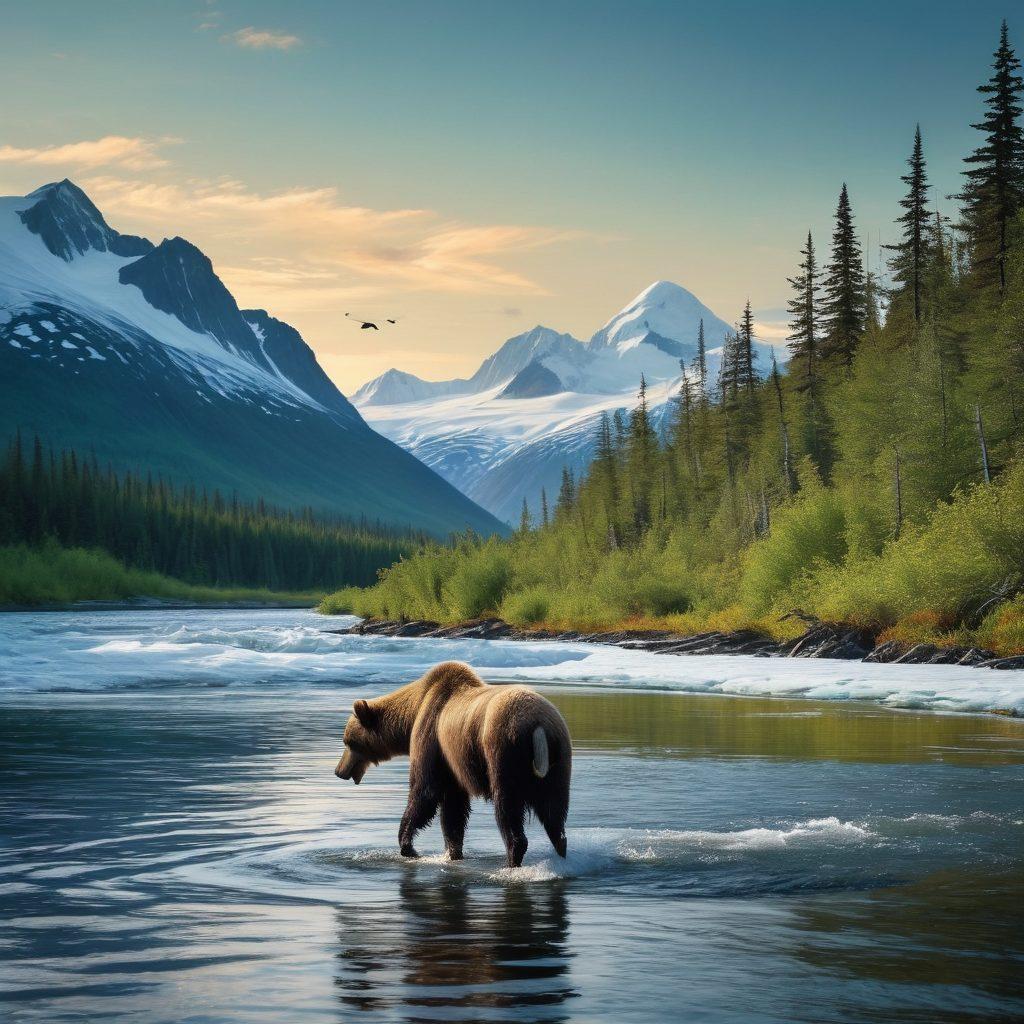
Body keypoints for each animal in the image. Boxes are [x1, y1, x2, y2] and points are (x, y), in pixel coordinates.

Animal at [335, 661, 571, 868]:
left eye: (348, 741)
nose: (339, 771)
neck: (414, 710)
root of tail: (538, 726)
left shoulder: (431, 734)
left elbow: (426, 791)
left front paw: (409, 846)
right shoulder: (451, 761)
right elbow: (453, 809)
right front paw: (453, 852)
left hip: (504, 749)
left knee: (507, 806)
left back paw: (511, 860)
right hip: (558, 760)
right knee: (554, 811)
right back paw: (560, 852)